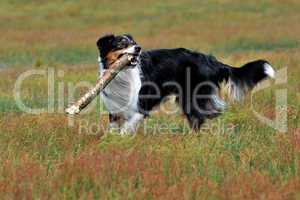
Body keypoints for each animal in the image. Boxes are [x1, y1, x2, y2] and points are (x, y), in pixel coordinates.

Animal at [95, 34, 274, 134]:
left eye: (134, 42)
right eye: (121, 43)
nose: (138, 48)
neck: (122, 74)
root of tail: (210, 60)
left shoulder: (140, 106)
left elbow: (127, 128)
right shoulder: (115, 107)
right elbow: (114, 128)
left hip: (191, 96)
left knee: (201, 117)